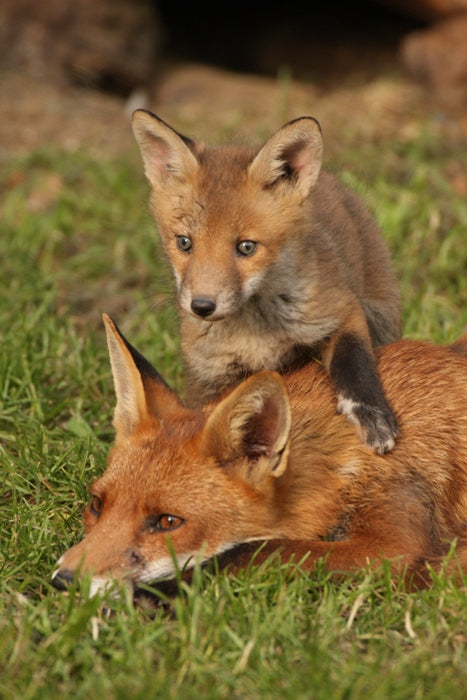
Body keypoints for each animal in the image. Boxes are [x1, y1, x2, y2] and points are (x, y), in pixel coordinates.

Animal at [52, 318, 467, 596]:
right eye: (96, 504)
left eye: (168, 521)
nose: (63, 581)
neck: (345, 456)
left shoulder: (394, 545)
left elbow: (256, 551)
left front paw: (157, 594)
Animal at [132, 111, 402, 454]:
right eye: (184, 243)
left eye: (246, 247)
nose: (202, 306)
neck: (255, 333)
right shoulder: (210, 372)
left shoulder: (339, 311)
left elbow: (353, 362)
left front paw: (370, 413)